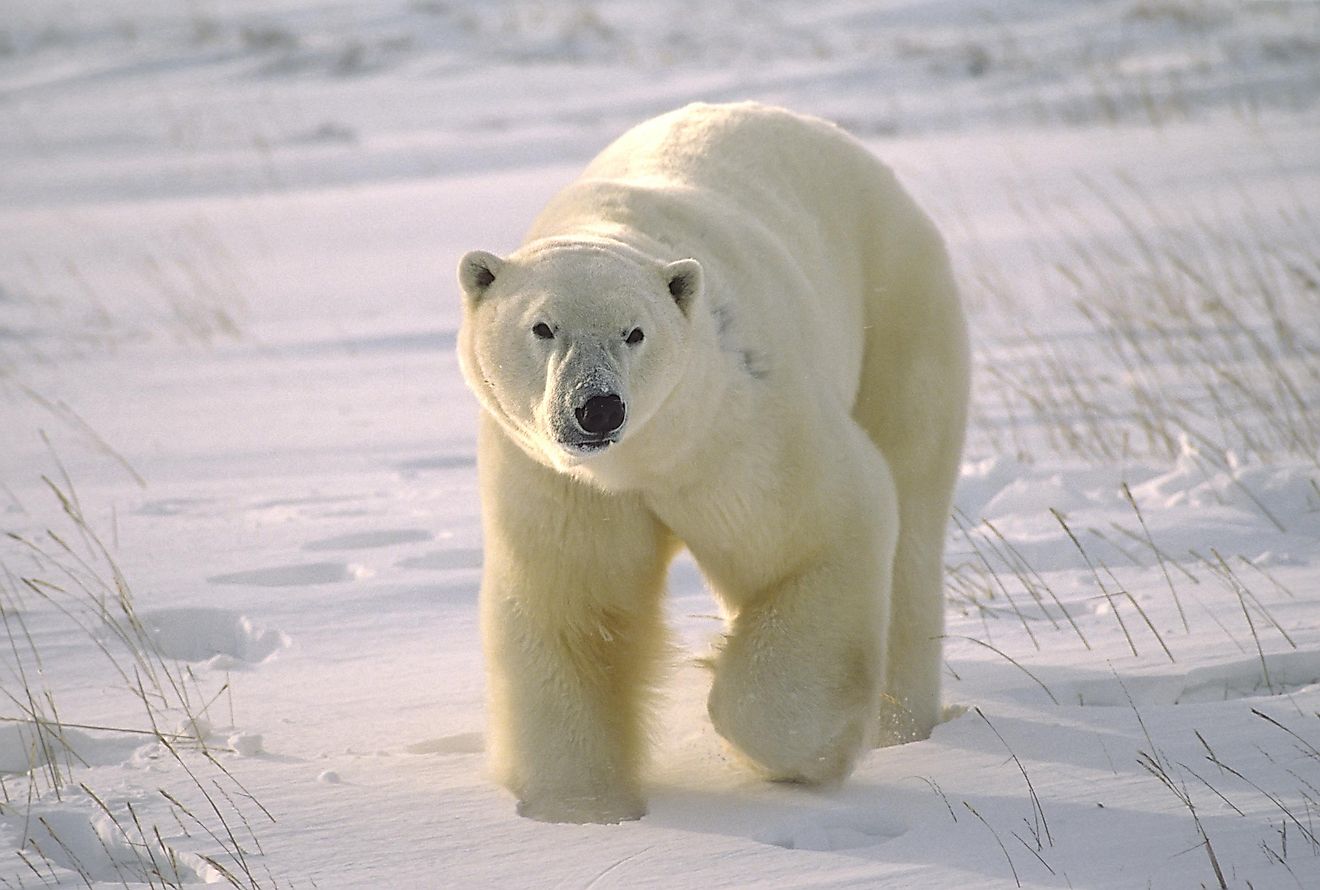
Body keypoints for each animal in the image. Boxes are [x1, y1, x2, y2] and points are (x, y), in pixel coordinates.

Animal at [456, 100, 971, 823]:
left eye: (635, 332)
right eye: (542, 327)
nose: (598, 409)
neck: (645, 458)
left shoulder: (735, 428)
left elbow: (820, 530)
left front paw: (796, 752)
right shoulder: (559, 482)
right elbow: (576, 607)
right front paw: (582, 806)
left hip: (897, 309)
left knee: (913, 506)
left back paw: (903, 723)